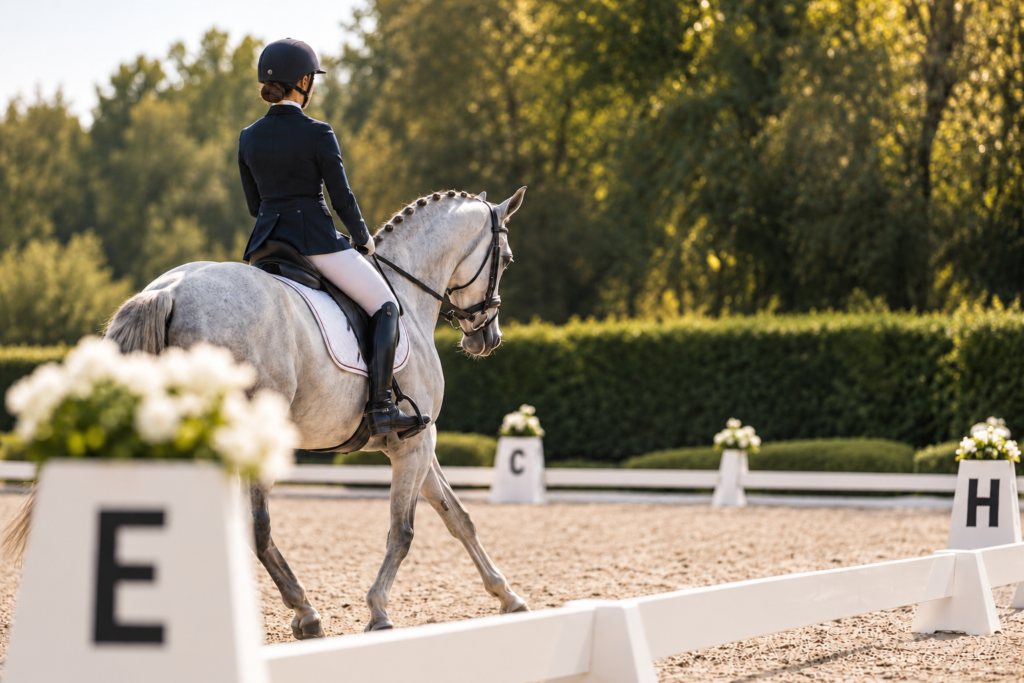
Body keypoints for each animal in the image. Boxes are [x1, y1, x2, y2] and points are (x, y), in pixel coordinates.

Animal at [104, 187, 530, 638]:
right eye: (506, 259)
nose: (487, 338)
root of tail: (169, 291)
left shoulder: (418, 441)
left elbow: (458, 517)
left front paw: (508, 596)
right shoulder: (414, 442)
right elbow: (403, 531)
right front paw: (378, 612)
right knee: (256, 526)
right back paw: (305, 612)